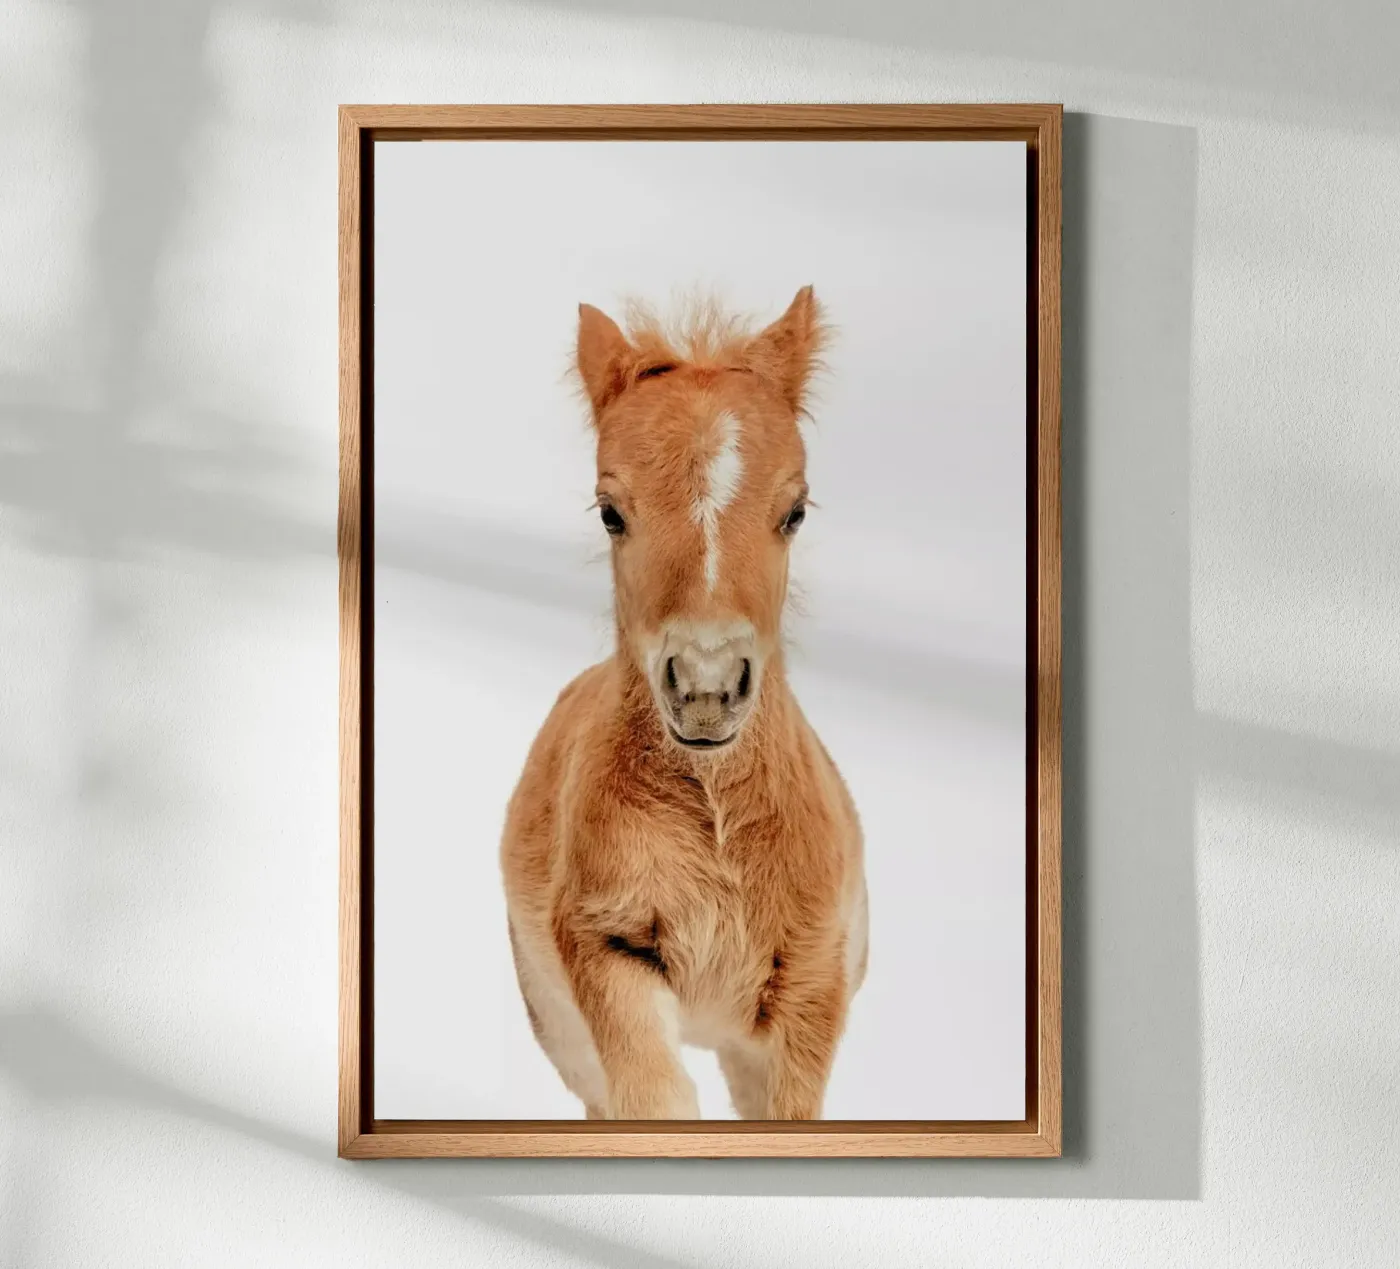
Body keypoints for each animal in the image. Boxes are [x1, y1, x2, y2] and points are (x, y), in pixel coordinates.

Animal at [499, 287, 867, 1120]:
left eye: (796, 510)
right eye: (610, 511)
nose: (705, 687)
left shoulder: (811, 990)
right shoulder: (606, 947)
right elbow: (655, 1102)